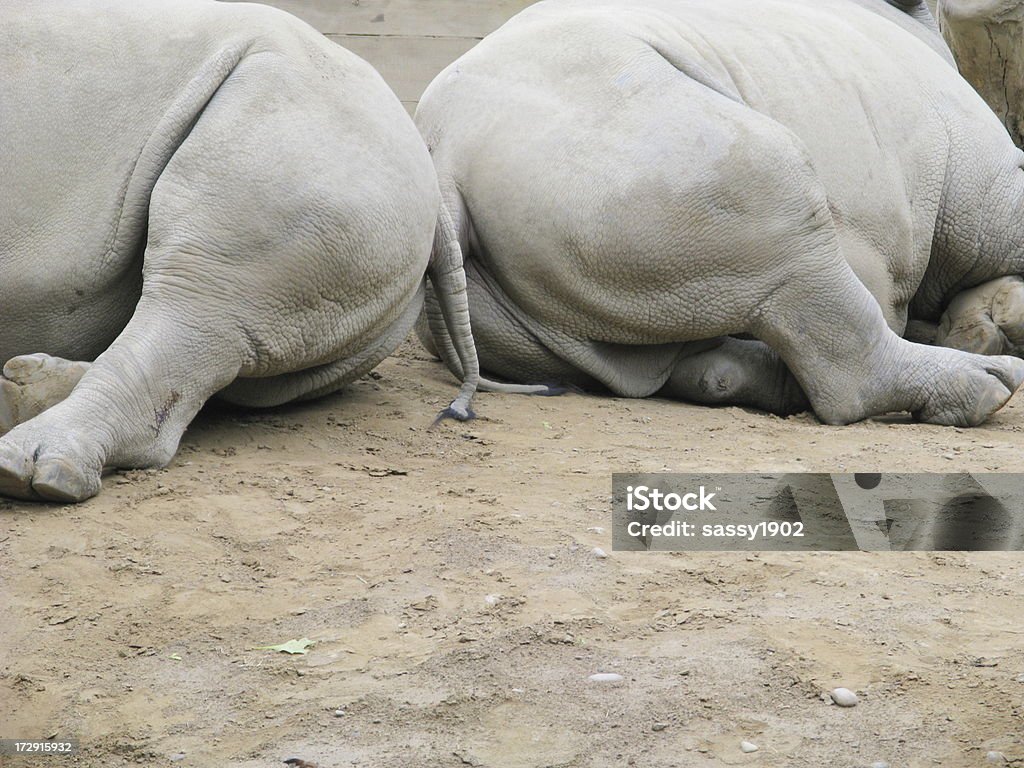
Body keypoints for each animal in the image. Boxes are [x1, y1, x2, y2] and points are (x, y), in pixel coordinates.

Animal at [411, 0, 1024, 428]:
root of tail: (446, 161)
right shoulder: (985, 187)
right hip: (633, 143)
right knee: (781, 200)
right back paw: (991, 383)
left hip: (567, 197)